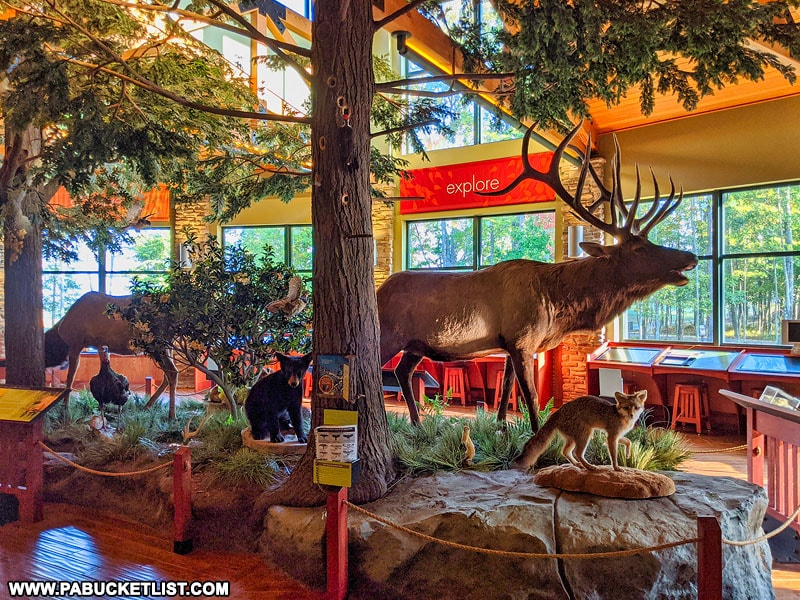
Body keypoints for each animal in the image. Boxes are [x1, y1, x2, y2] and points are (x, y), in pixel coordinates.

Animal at [43, 290, 178, 418]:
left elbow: (70, 378)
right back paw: (147, 406)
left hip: (158, 344)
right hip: (167, 345)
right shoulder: (99, 345)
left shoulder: (75, 344)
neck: (61, 339)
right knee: (167, 376)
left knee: (173, 372)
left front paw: (65, 408)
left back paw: (171, 415)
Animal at [378, 122, 696, 428]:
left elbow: (506, 389)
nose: (690, 257)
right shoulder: (521, 341)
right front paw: (534, 435)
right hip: (389, 335)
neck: (558, 307)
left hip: (414, 346)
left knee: (402, 371)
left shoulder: (509, 345)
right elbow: (529, 395)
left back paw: (417, 424)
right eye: (639, 248)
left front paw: (501, 427)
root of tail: (378, 291)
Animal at [512, 392, 648, 472]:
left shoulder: (615, 436)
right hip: (586, 434)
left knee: (565, 451)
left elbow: (629, 441)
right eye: (626, 408)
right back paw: (589, 466)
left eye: (636, 408)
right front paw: (616, 467)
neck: (620, 416)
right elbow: (613, 455)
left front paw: (627, 454)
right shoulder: (612, 436)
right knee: (577, 452)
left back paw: (577, 464)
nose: (632, 415)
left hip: (573, 438)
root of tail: (557, 412)